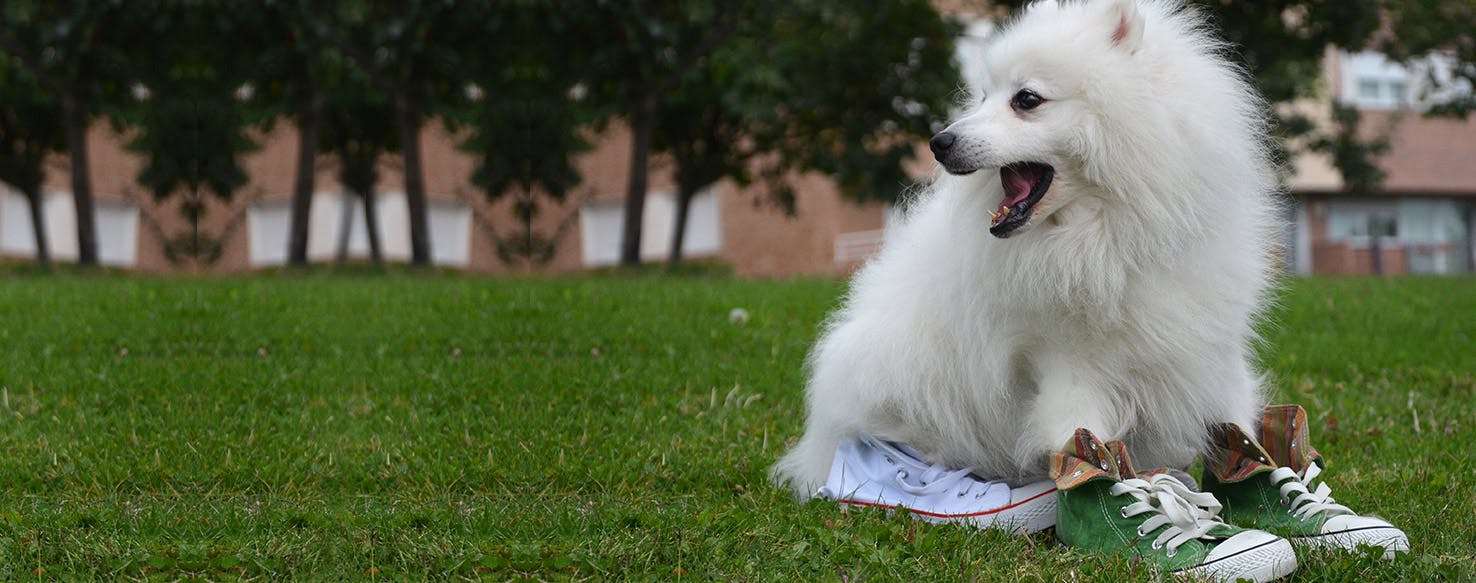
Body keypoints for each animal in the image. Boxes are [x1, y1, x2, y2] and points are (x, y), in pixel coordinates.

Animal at [773, 0, 1281, 498]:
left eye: (1027, 100)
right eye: (983, 98)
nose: (939, 142)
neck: (1112, 235)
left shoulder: (1209, 343)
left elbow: (1237, 417)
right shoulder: (1068, 362)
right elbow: (1083, 437)